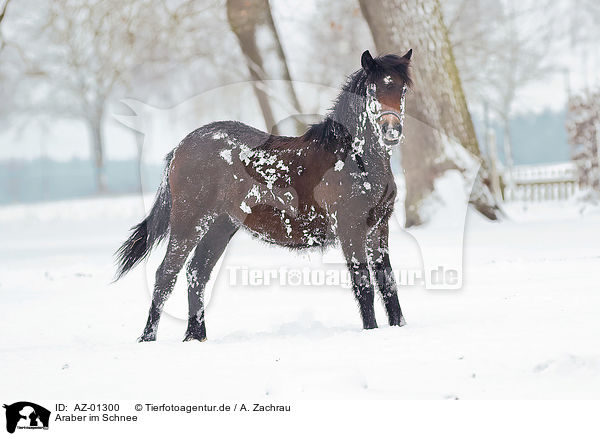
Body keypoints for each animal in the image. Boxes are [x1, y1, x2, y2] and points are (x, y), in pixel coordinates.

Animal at [114, 47, 412, 340]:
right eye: (372, 90)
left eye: (402, 89)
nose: (391, 130)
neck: (351, 158)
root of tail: (180, 148)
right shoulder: (351, 228)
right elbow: (364, 285)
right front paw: (371, 331)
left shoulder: (378, 228)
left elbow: (387, 283)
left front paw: (399, 327)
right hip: (189, 221)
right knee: (166, 274)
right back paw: (148, 338)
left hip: (221, 225)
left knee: (197, 273)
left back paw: (195, 337)